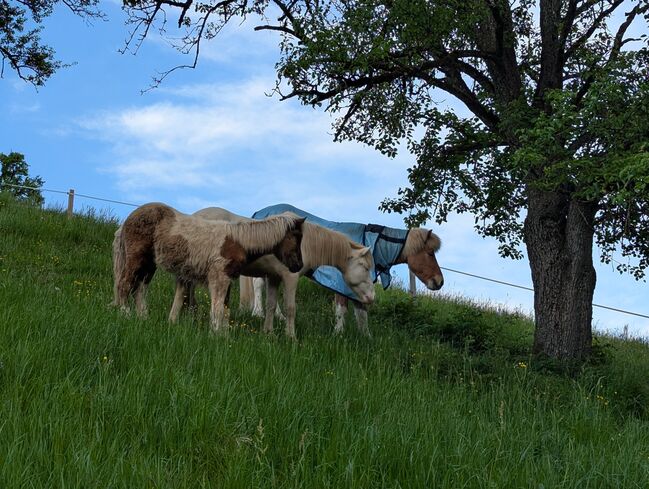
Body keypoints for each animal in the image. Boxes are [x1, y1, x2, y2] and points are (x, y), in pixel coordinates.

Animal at [111, 202, 305, 333]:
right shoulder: (219, 278)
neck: (238, 241)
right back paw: (125, 314)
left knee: (139, 289)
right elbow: (217, 309)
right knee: (124, 284)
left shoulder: (227, 279)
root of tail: (129, 218)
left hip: (149, 264)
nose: (298, 266)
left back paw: (143, 317)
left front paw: (222, 335)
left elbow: (225, 309)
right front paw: (215, 335)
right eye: (296, 237)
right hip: (136, 258)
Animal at [176, 206, 375, 338]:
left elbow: (271, 305)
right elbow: (290, 308)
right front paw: (291, 337)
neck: (306, 243)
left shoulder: (273, 277)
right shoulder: (290, 278)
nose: (371, 298)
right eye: (366, 268)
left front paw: (268, 333)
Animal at [245, 204, 444, 337]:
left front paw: (366, 338)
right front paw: (338, 334)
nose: (439, 282)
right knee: (258, 283)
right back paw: (258, 312)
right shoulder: (342, 284)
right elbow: (342, 310)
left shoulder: (360, 288)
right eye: (430, 253)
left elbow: (362, 313)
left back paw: (278, 316)